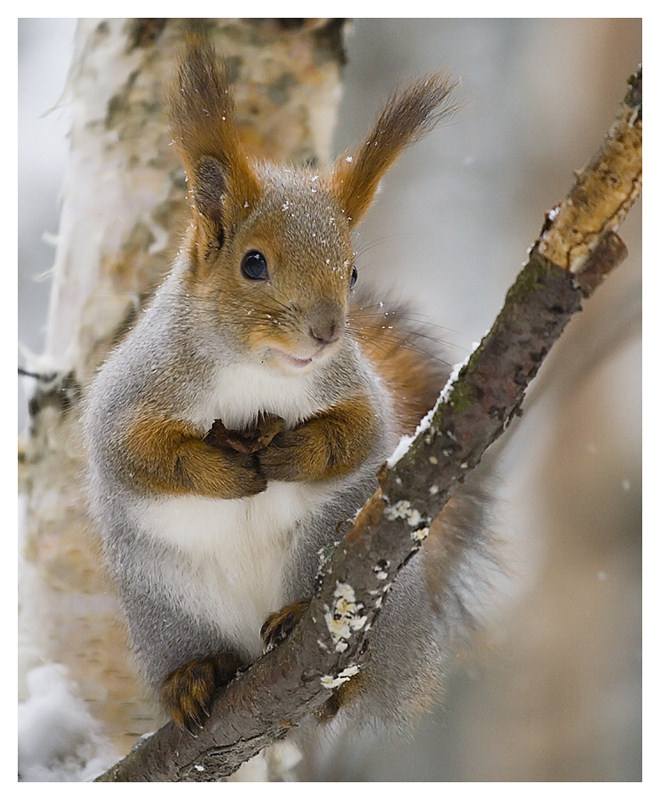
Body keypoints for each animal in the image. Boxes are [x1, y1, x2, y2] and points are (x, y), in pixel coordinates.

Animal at [84, 40, 490, 736]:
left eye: (351, 272)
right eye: (253, 263)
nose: (326, 332)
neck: (257, 372)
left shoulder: (353, 387)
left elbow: (360, 435)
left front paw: (294, 453)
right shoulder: (135, 388)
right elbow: (137, 452)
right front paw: (220, 471)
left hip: (332, 544)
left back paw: (304, 624)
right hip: (165, 602)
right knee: (198, 649)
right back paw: (195, 675)